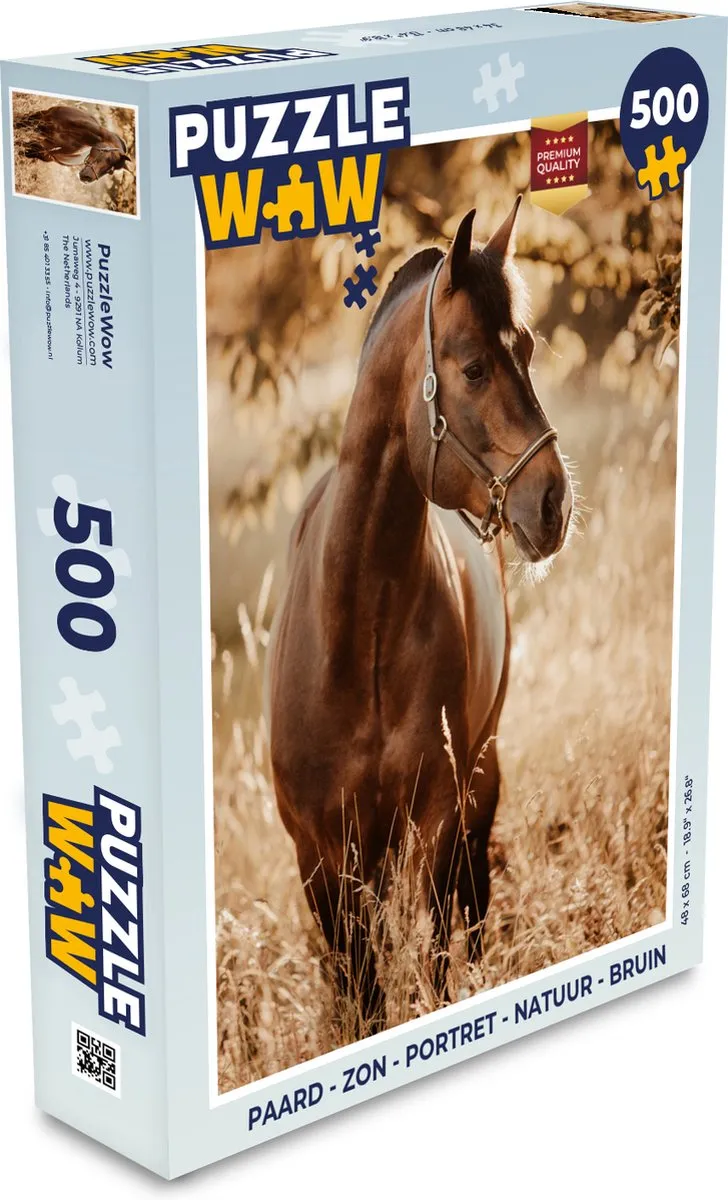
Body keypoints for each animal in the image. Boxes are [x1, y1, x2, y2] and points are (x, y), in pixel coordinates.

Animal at [267, 197, 573, 1029]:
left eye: (528, 349)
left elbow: (434, 966)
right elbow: (362, 997)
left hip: (479, 781)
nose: (553, 503)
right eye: (473, 367)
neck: (355, 627)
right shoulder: (320, 855)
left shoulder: (437, 817)